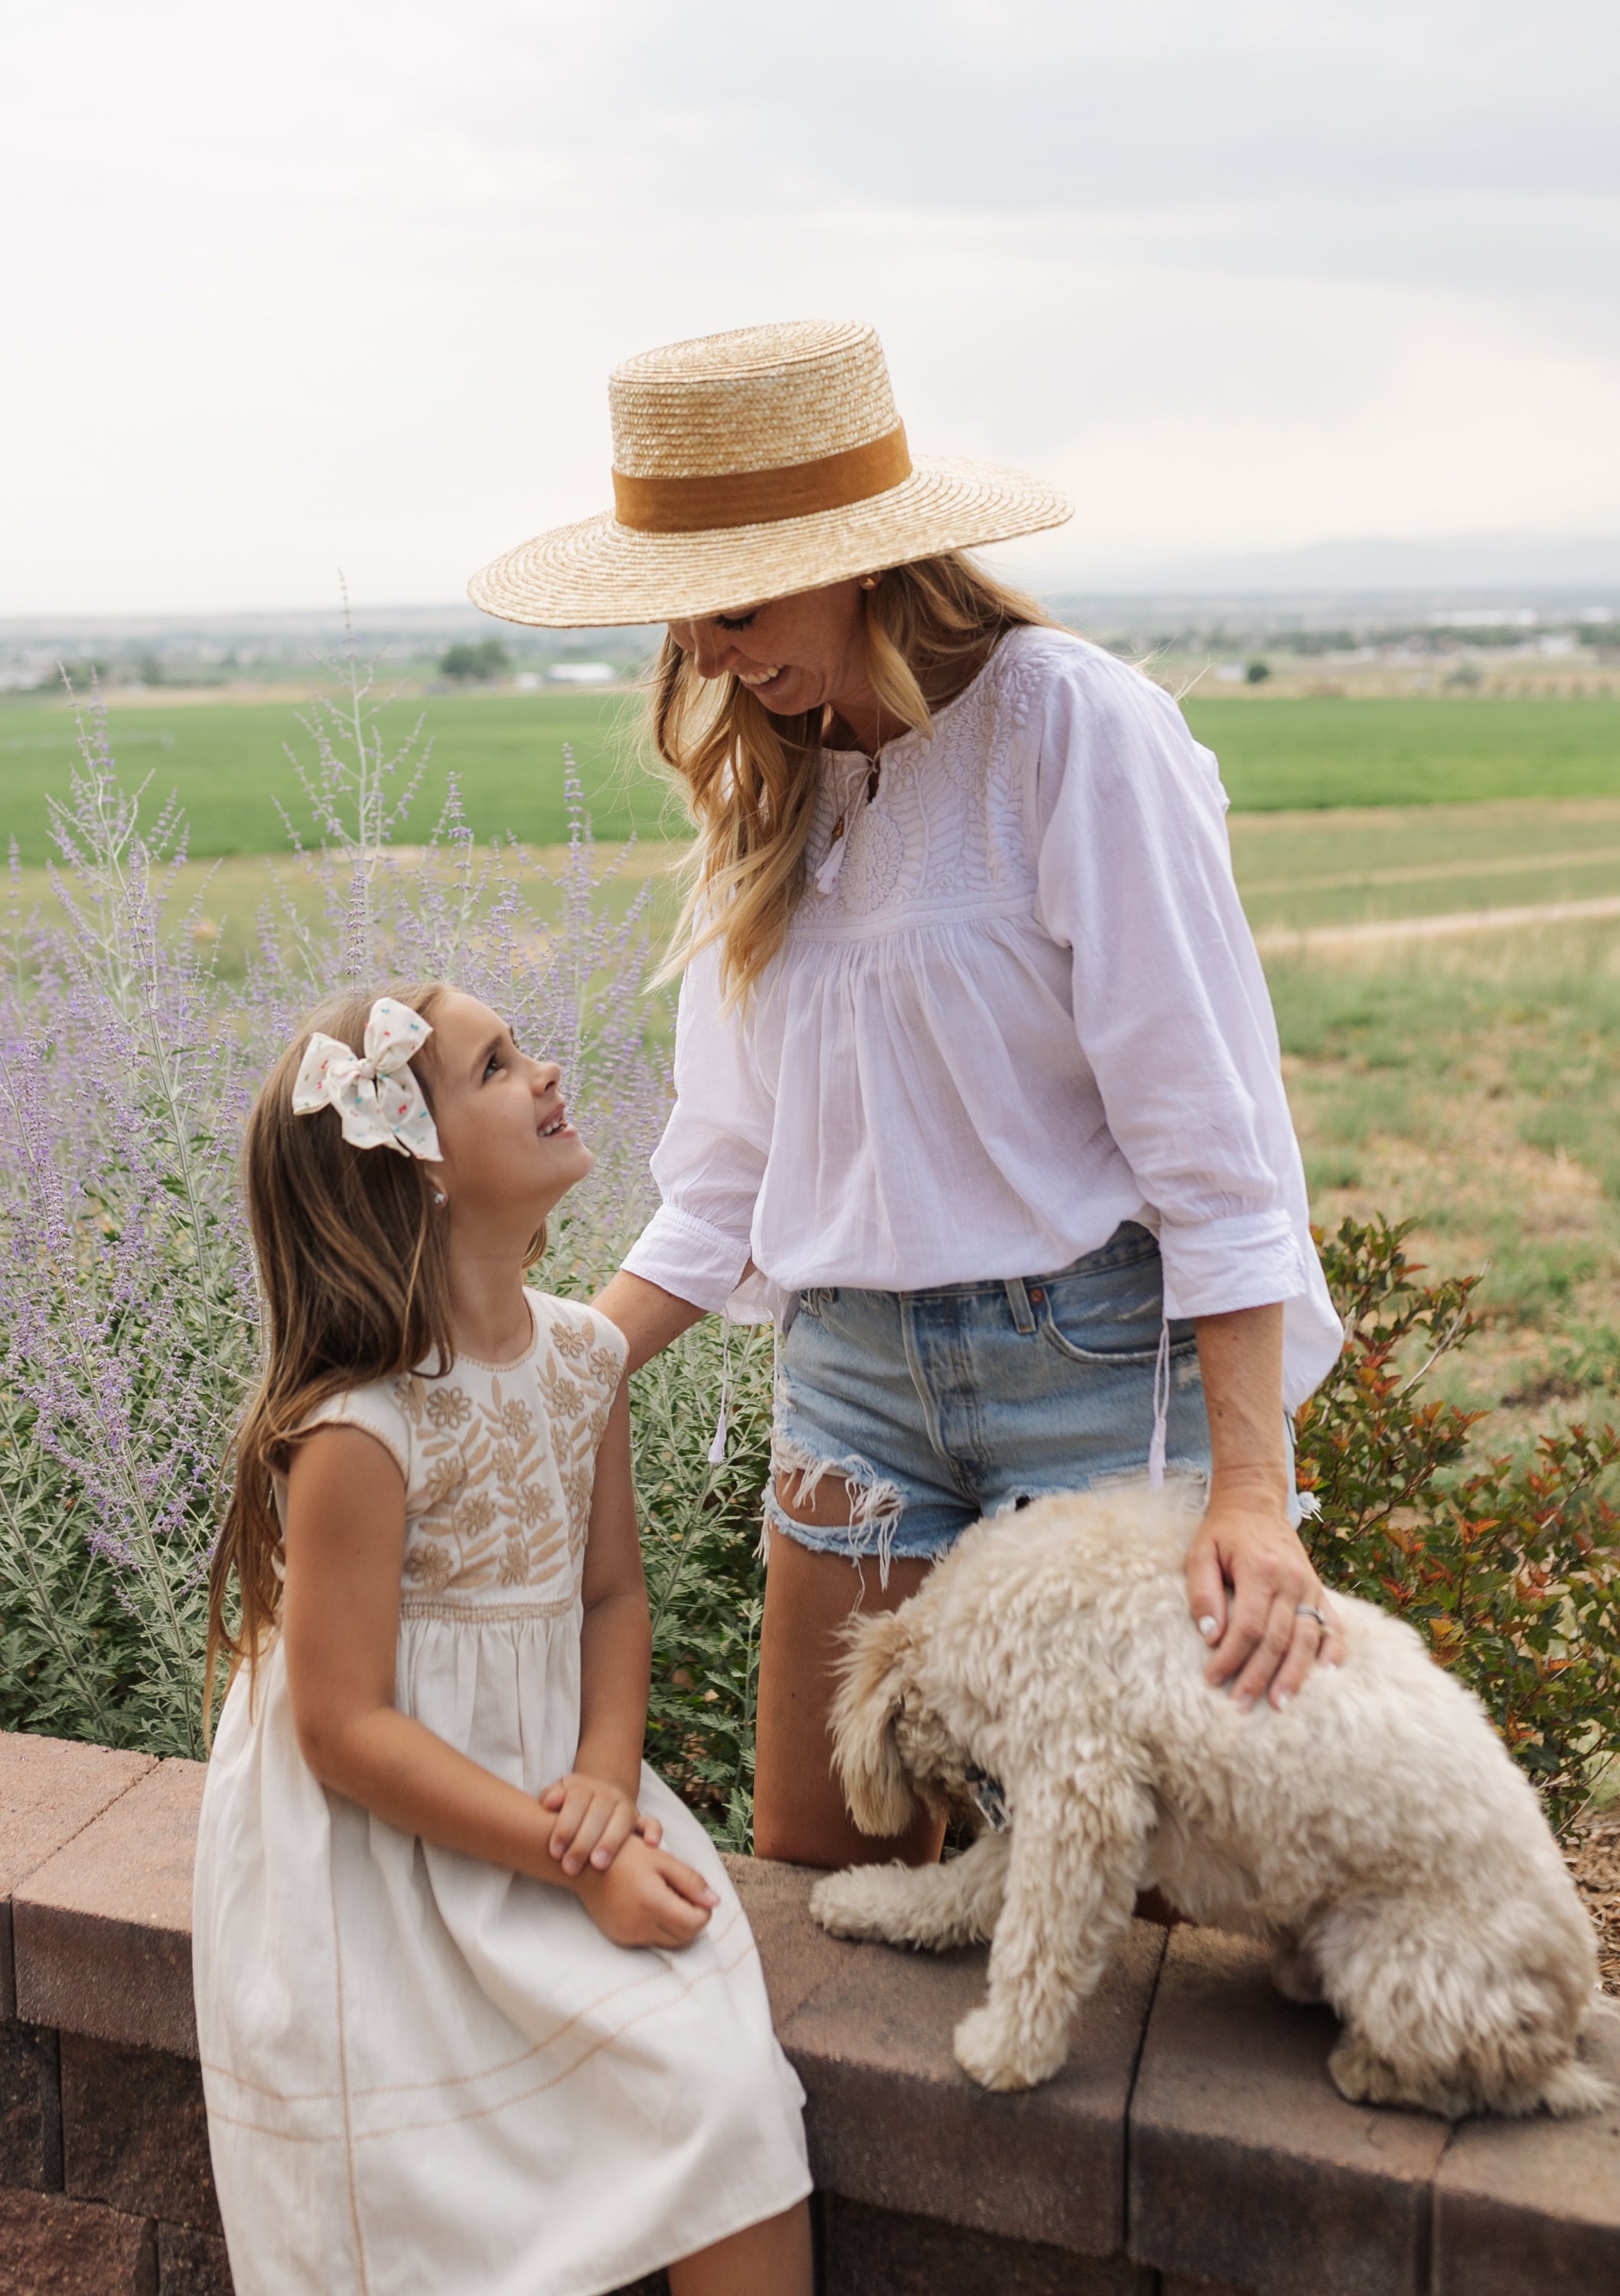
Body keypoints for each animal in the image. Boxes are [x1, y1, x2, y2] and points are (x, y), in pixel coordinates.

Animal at [807, 1469, 1606, 2112]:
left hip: (1395, 1957)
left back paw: (1370, 2071)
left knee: (1494, 2083)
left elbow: (1034, 1944)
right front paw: (863, 1901)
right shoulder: (1067, 1796)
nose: (973, 1809)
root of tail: (1571, 2012)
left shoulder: (1080, 1794)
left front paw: (1005, 2053)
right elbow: (954, 1891)